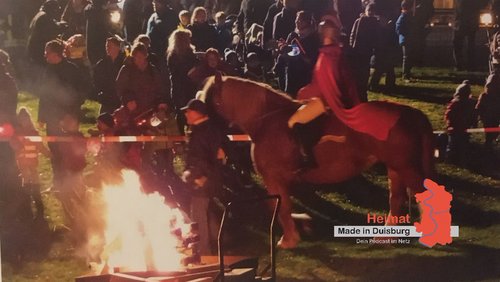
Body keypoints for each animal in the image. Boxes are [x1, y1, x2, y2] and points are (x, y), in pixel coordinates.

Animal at [201, 74, 436, 248]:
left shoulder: (273, 177)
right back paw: (385, 237)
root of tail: (411, 112)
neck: (267, 119)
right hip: (395, 169)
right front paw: (299, 226)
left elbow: (280, 207)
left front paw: (289, 239)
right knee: (396, 201)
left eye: (208, 99)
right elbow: (282, 206)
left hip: (406, 168)